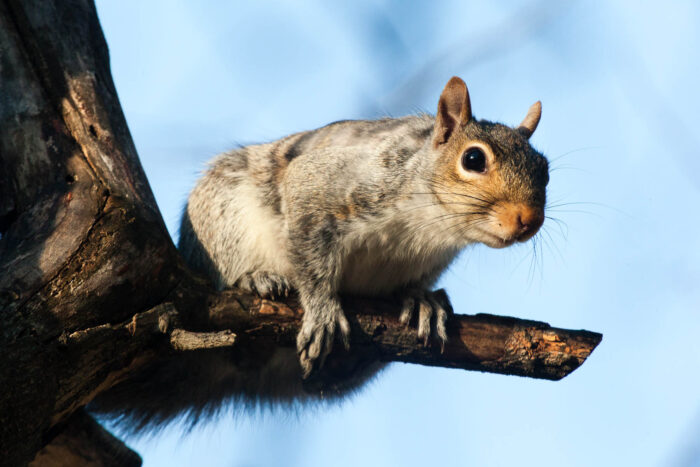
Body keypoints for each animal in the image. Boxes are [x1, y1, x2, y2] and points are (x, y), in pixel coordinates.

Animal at [91, 77, 548, 429]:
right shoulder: (324, 190)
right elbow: (310, 258)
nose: (529, 220)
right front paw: (323, 309)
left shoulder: (430, 258)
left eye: (544, 169)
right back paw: (254, 278)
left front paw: (421, 300)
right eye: (473, 159)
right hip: (222, 220)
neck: (431, 225)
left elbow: (414, 284)